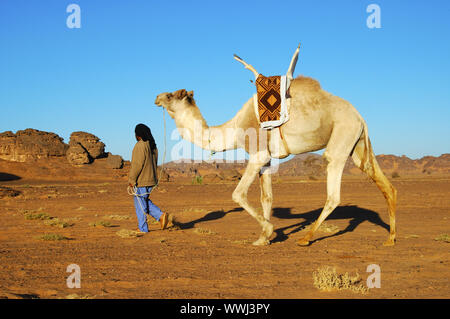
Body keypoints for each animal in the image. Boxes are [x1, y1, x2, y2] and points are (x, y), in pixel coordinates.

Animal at [156, 45, 398, 248]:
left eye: (170, 95)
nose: (156, 97)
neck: (234, 129)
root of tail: (360, 116)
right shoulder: (267, 160)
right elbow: (267, 198)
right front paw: (263, 238)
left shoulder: (257, 154)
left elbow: (238, 194)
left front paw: (269, 229)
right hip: (357, 144)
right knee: (384, 184)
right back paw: (390, 238)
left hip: (341, 138)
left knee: (334, 194)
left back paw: (306, 238)